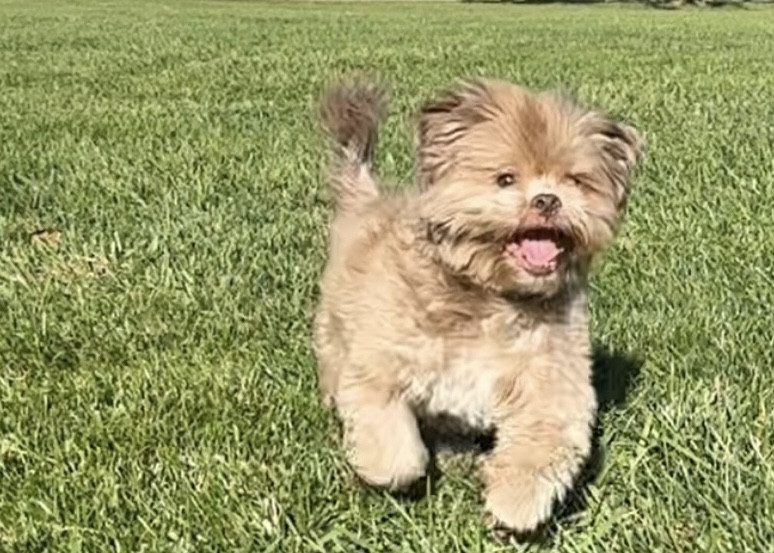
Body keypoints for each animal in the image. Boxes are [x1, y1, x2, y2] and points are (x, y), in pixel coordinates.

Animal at [312, 77, 643, 533]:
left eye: (575, 181)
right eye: (505, 178)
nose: (547, 200)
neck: (491, 296)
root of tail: (365, 200)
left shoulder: (550, 377)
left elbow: (544, 440)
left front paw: (516, 503)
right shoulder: (380, 367)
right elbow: (392, 442)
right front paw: (388, 471)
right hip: (334, 334)